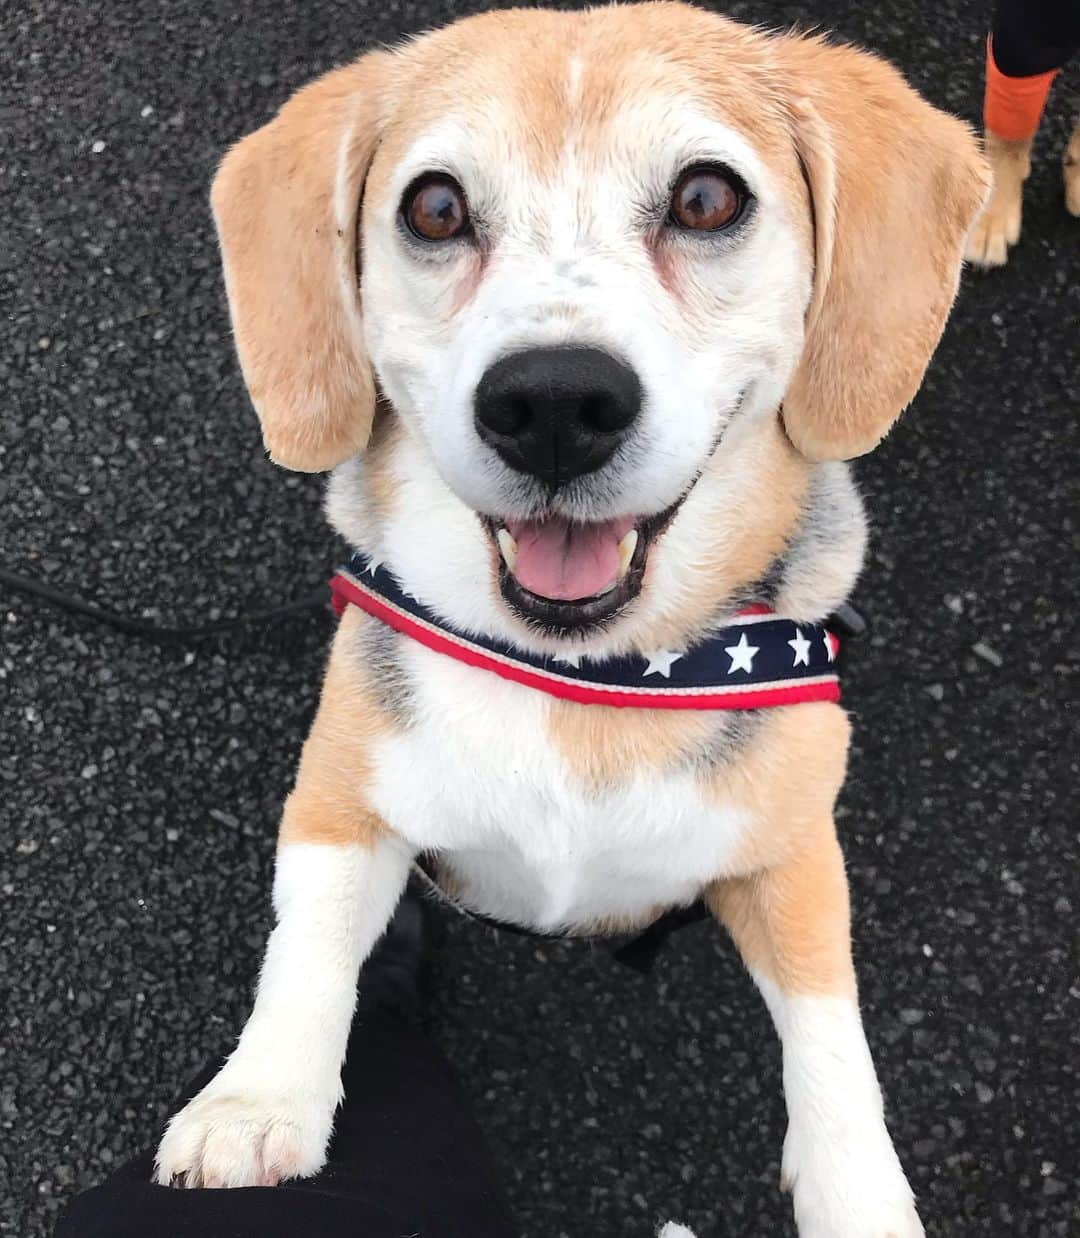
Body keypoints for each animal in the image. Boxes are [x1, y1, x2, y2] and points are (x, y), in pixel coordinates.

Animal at [156, 4, 990, 1233]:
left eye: (707, 198)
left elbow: (833, 1039)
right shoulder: (342, 794)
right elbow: (308, 941)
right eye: (435, 209)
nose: (553, 401)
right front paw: (254, 1105)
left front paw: (861, 1193)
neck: (588, 677)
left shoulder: (794, 851)